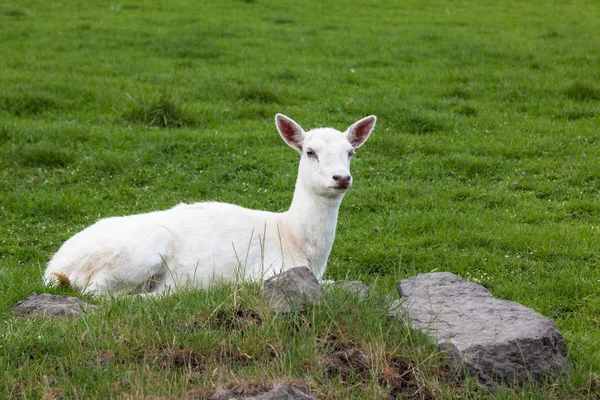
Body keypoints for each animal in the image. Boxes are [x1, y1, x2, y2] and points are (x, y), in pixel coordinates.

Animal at [44, 114, 376, 296]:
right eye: (309, 151)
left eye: (350, 152)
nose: (341, 178)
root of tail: (54, 268)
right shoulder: (266, 272)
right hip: (138, 252)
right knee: (99, 294)